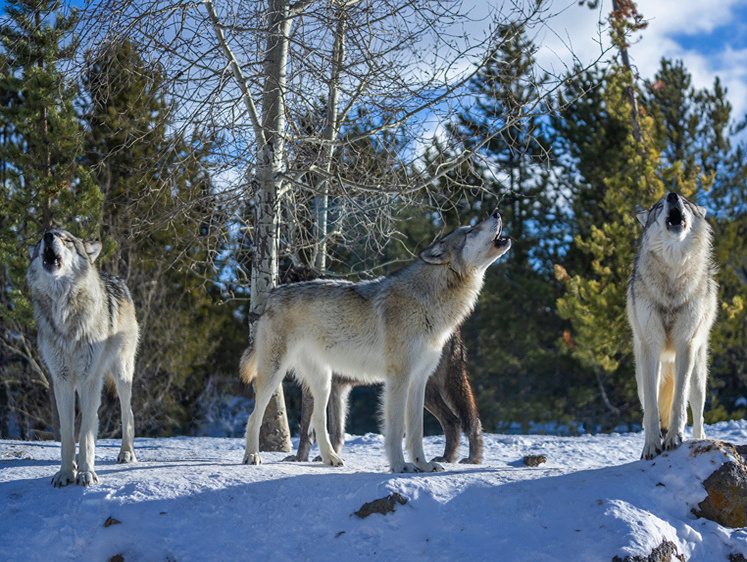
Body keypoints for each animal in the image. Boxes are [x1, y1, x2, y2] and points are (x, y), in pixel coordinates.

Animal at [27, 226, 140, 482]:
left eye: (67, 240)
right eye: (40, 239)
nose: (48, 236)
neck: (64, 312)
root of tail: (118, 280)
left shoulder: (90, 378)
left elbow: (86, 433)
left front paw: (86, 474)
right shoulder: (61, 380)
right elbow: (69, 434)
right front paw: (65, 473)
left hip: (120, 372)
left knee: (127, 412)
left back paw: (126, 453)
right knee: (93, 417)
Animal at [240, 209, 508, 468]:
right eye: (471, 231)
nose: (496, 212)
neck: (428, 304)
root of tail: (271, 296)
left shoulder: (418, 380)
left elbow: (415, 431)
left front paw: (422, 465)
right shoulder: (399, 378)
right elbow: (397, 429)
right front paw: (401, 466)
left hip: (324, 382)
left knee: (317, 419)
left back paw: (331, 459)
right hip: (275, 373)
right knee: (254, 415)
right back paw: (252, 456)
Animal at [624, 192, 720, 460]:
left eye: (685, 202)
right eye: (659, 206)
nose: (672, 195)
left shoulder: (685, 344)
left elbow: (679, 402)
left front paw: (674, 438)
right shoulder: (650, 347)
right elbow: (653, 410)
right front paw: (651, 446)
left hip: (698, 375)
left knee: (698, 413)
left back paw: (699, 440)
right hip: (641, 376)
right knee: (650, 406)